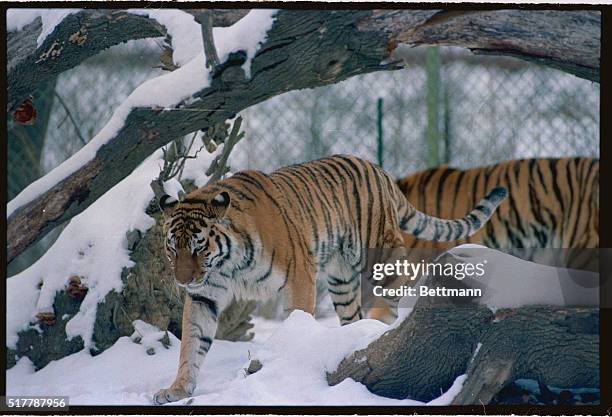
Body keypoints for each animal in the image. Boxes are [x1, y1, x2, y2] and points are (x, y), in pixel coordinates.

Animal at [153, 154, 506, 404]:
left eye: (199, 247)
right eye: (172, 248)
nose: (183, 281)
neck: (228, 264)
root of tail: (378, 169)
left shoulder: (298, 276)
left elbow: (297, 319)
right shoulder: (205, 295)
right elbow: (192, 343)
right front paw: (178, 389)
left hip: (382, 259)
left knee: (403, 294)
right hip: (341, 281)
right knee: (354, 316)